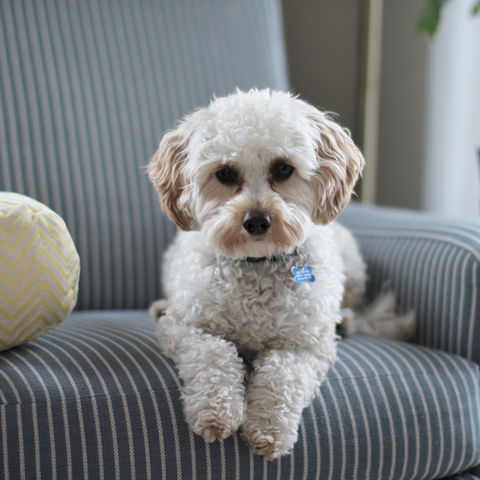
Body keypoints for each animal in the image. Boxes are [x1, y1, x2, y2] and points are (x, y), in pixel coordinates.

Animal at [146, 88, 412, 460]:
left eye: (283, 168)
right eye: (225, 174)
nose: (256, 220)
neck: (257, 263)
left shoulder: (303, 346)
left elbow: (281, 377)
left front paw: (268, 429)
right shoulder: (186, 328)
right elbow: (214, 355)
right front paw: (215, 411)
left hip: (352, 265)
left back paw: (344, 320)